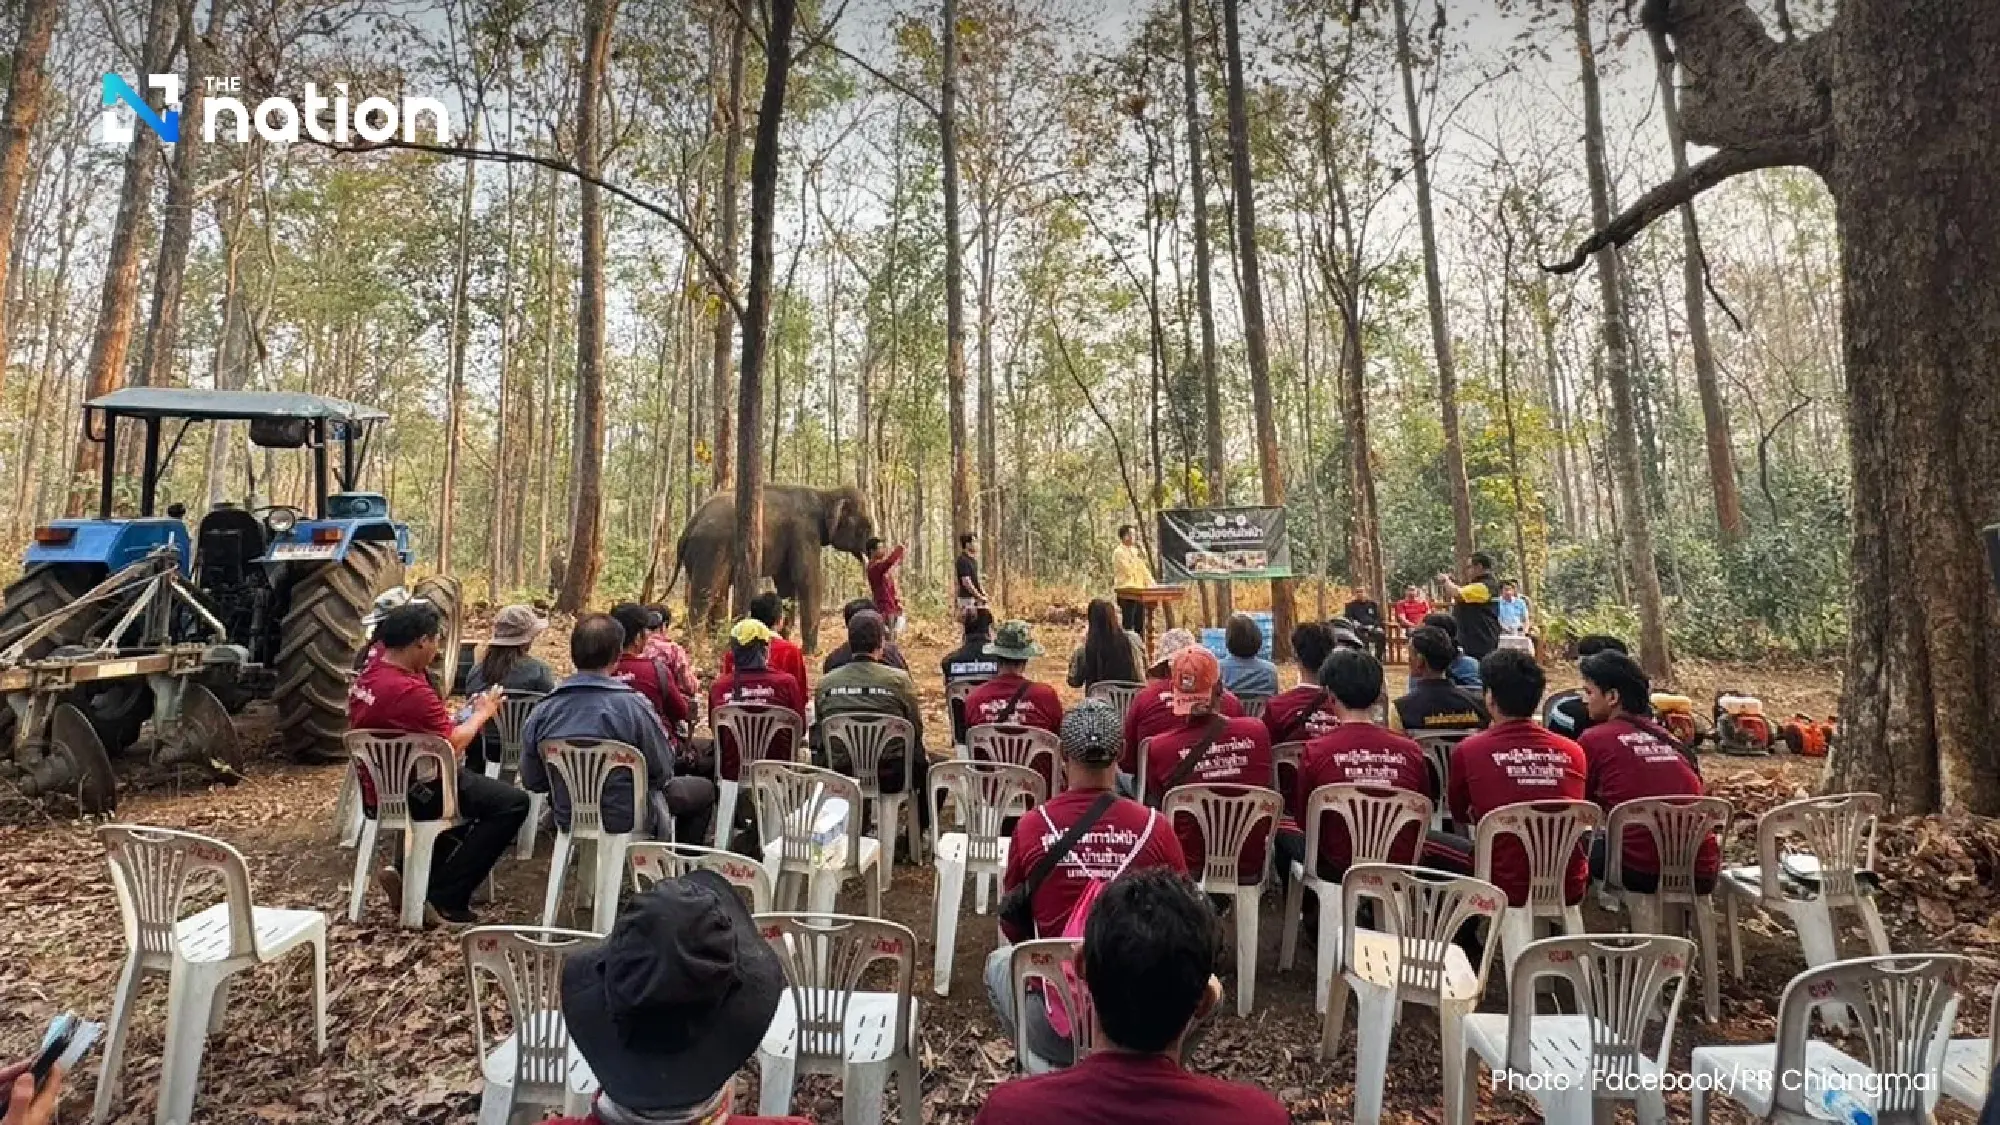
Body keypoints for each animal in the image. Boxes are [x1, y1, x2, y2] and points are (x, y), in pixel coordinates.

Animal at [668, 484, 875, 653]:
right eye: (866, 527)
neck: (824, 494)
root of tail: (689, 525)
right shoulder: (804, 532)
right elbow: (807, 579)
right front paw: (812, 652)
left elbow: (786, 584)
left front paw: (783, 638)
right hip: (710, 548)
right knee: (705, 593)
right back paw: (692, 647)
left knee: (719, 591)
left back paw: (715, 642)